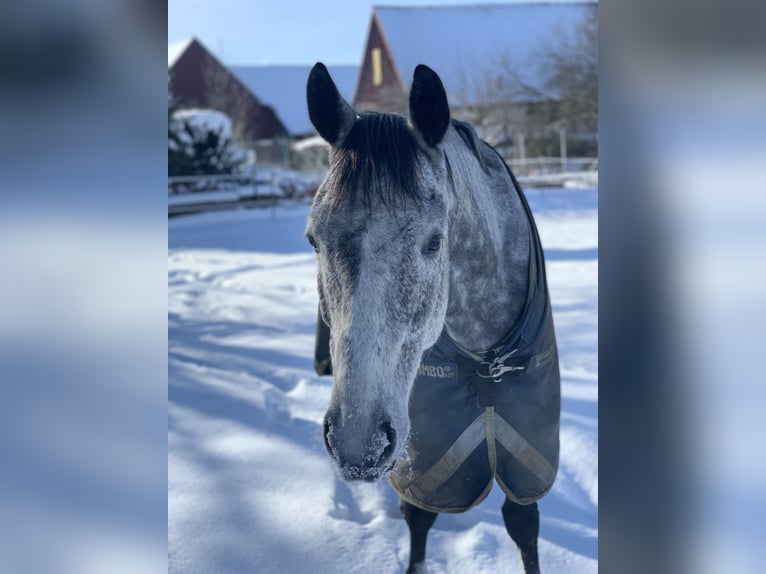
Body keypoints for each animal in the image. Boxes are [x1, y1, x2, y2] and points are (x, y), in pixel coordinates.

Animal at [305, 62, 561, 574]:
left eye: (435, 242)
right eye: (313, 239)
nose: (357, 444)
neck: (485, 359)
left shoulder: (531, 450)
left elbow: (524, 527)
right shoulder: (424, 458)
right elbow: (419, 519)